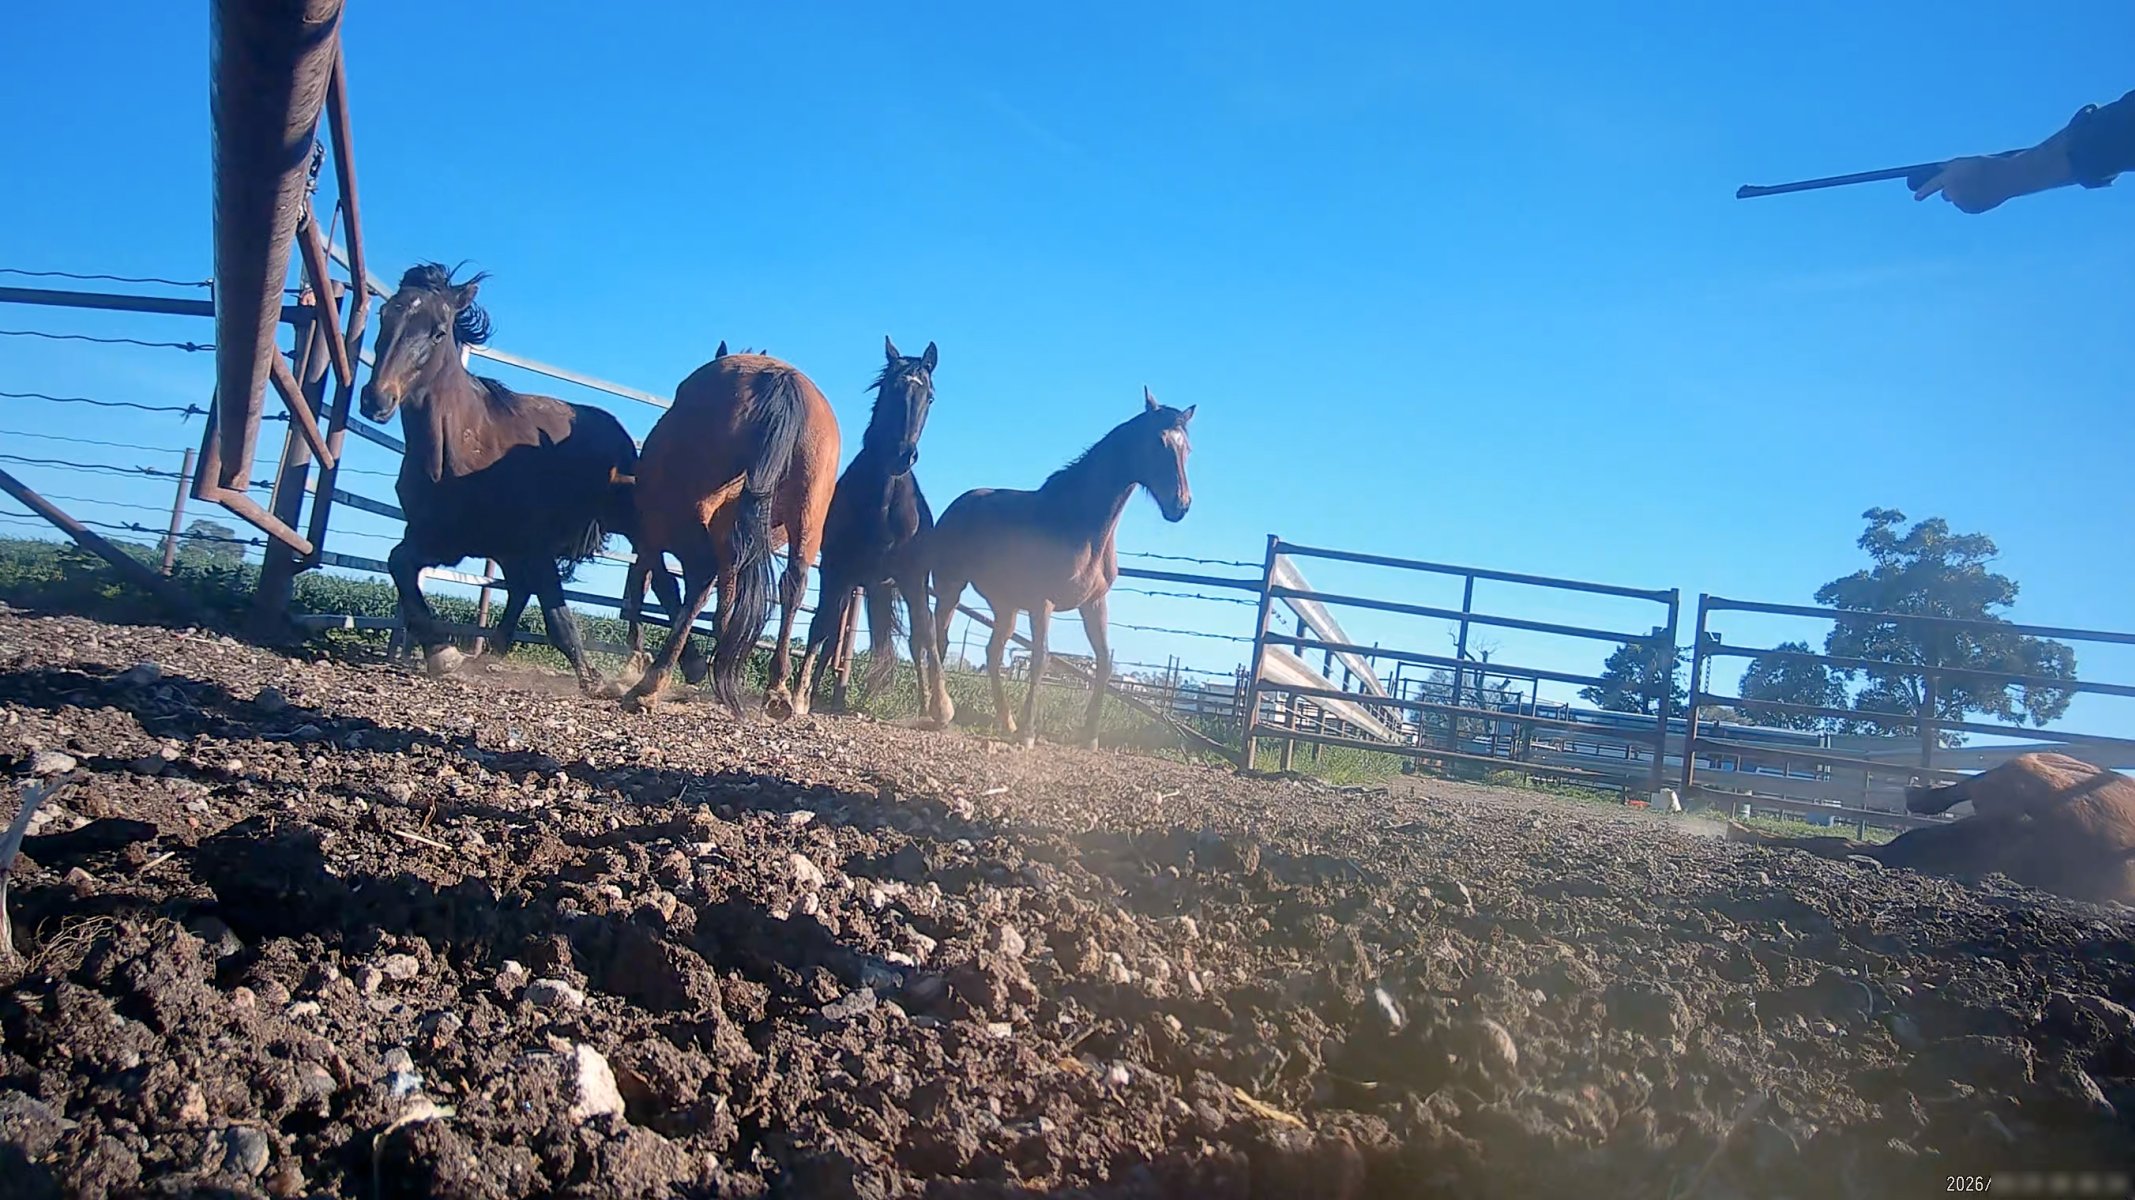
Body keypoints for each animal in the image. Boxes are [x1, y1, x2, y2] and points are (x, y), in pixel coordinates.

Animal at [359, 263, 693, 692]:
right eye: (386, 315)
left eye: (438, 330)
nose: (376, 399)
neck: (456, 453)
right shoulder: (440, 539)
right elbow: (399, 563)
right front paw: (443, 653)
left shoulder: (534, 546)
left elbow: (558, 616)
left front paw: (593, 680)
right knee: (519, 589)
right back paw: (493, 651)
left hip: (628, 524)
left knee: (663, 581)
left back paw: (686, 666)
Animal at [620, 349, 840, 718]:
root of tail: (782, 381)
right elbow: (724, 601)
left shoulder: (653, 531)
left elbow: (654, 582)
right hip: (808, 519)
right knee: (792, 585)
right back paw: (776, 690)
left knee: (696, 580)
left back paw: (650, 685)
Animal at [787, 337, 944, 719]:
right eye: (890, 388)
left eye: (930, 396)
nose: (903, 455)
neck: (884, 506)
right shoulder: (835, 570)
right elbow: (820, 628)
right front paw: (798, 697)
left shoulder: (914, 577)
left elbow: (924, 635)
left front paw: (935, 708)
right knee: (830, 633)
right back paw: (812, 695)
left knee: (916, 638)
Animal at [921, 388, 1194, 747]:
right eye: (1158, 442)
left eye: (1187, 448)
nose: (1181, 505)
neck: (1079, 523)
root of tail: (958, 505)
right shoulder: (1043, 603)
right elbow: (1041, 659)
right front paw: (1029, 734)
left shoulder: (1094, 603)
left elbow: (1103, 662)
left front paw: (1089, 737)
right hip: (950, 588)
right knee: (938, 640)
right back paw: (939, 711)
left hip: (1005, 606)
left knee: (993, 654)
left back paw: (1006, 722)